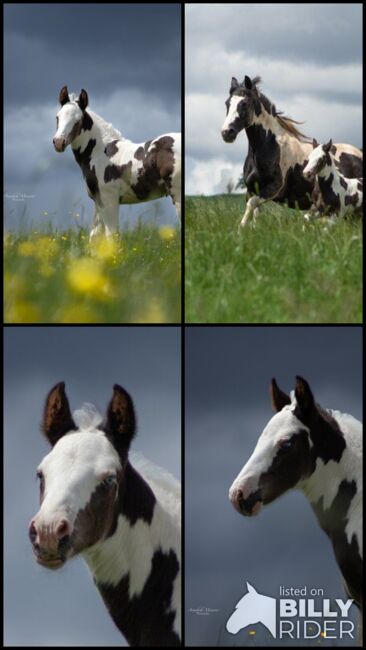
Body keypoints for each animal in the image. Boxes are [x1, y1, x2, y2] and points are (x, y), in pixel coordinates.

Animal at [53, 85, 182, 238]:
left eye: (78, 120)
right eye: (57, 117)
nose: (58, 142)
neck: (100, 152)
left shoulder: (109, 199)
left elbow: (111, 236)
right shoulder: (98, 201)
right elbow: (95, 236)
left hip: (177, 193)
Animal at [220, 75, 364, 228]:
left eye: (245, 103)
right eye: (227, 103)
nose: (227, 133)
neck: (268, 147)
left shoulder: (275, 188)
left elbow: (251, 204)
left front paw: (240, 228)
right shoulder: (252, 188)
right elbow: (254, 211)